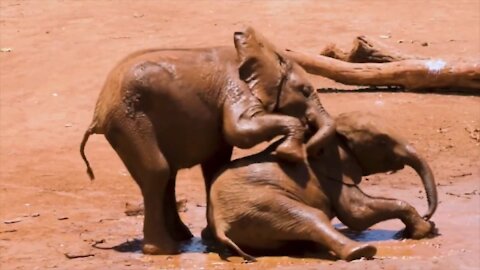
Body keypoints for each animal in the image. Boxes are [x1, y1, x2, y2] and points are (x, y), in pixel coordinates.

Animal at [79, 26, 334, 254]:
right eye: (305, 91)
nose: (313, 149)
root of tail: (98, 113)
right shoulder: (236, 88)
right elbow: (239, 131)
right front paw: (289, 152)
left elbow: (216, 162)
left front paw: (210, 238)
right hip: (129, 121)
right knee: (158, 171)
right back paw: (164, 250)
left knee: (168, 174)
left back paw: (182, 237)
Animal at [208, 112, 436, 262]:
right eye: (382, 141)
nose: (427, 214)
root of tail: (220, 224)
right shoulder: (332, 176)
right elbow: (357, 213)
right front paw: (424, 229)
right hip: (260, 204)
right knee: (312, 217)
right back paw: (362, 251)